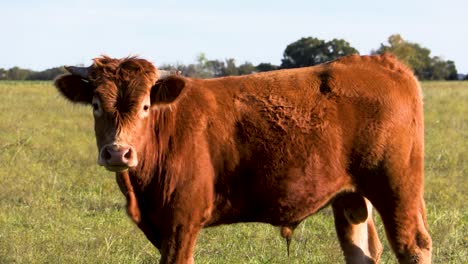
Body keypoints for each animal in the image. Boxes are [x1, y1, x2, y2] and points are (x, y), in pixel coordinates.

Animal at [54, 54, 432, 262]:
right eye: (96, 104)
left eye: (146, 106)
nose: (118, 152)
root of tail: (380, 63)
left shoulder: (181, 221)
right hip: (352, 197)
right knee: (361, 250)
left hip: (396, 186)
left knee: (413, 245)